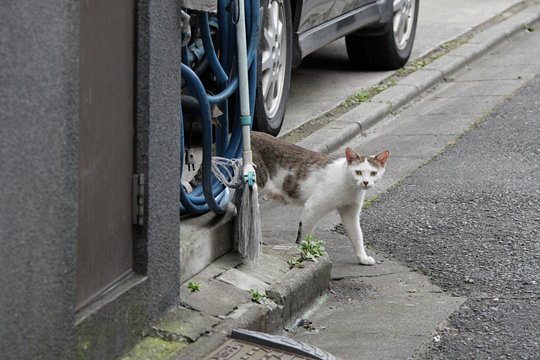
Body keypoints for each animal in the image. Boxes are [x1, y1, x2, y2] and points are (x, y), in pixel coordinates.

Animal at [253, 131, 388, 266]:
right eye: (358, 172)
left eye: (373, 173)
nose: (365, 182)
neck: (349, 186)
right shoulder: (312, 208)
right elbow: (304, 235)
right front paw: (305, 253)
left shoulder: (350, 212)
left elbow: (357, 235)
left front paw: (363, 257)